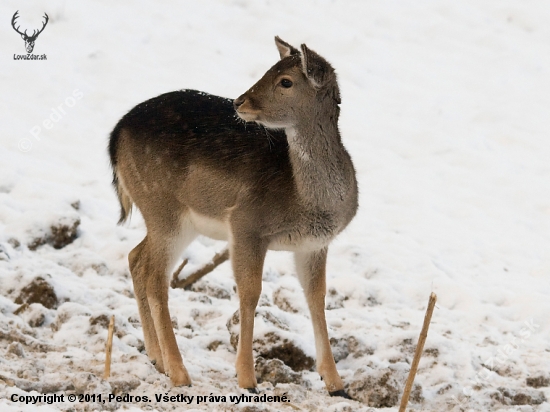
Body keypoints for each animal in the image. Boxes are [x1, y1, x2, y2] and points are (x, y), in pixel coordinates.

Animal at [109, 37, 360, 398]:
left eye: (285, 81)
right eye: (270, 70)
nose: (239, 101)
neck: (307, 200)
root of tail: (114, 136)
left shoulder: (314, 244)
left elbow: (317, 297)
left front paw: (336, 383)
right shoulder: (246, 224)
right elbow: (250, 292)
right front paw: (247, 379)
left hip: (168, 217)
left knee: (136, 257)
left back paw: (157, 358)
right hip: (164, 208)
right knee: (155, 276)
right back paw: (179, 372)